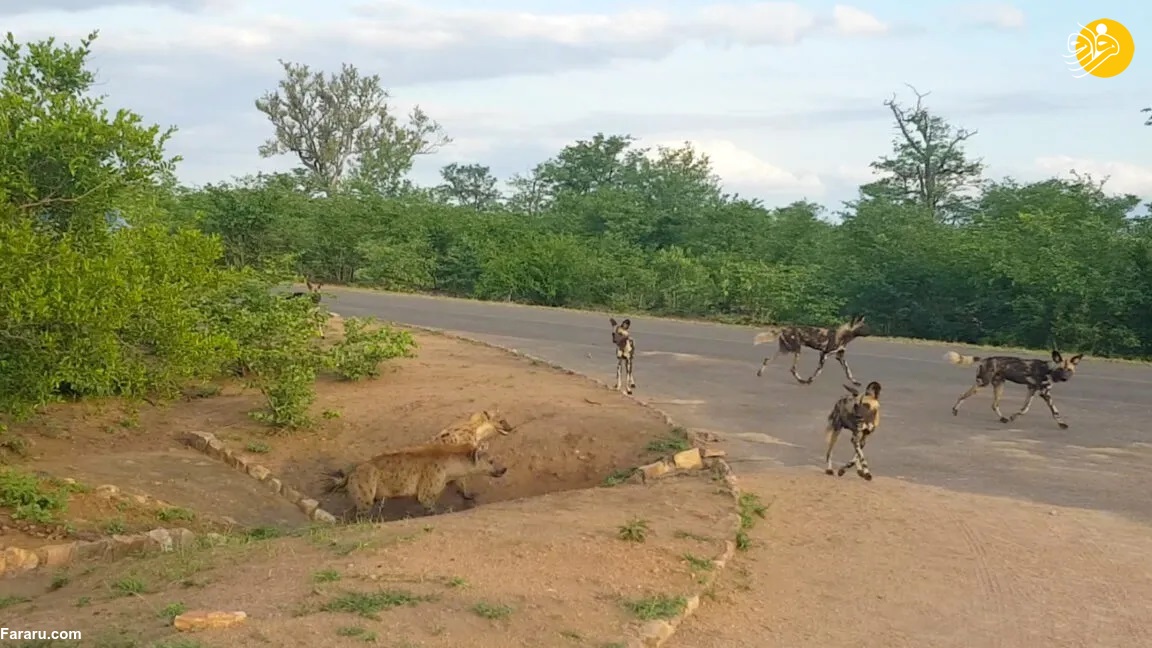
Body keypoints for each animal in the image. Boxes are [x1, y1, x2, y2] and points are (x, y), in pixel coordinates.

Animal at [322, 440, 506, 516]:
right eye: (491, 461)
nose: (504, 469)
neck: (450, 465)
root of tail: (352, 470)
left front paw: (469, 495)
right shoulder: (429, 486)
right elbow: (429, 505)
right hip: (366, 486)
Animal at [944, 348, 1078, 428]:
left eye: (1069, 370)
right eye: (1060, 369)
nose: (1065, 378)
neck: (1049, 370)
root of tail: (985, 359)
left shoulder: (1032, 389)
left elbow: (1024, 409)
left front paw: (1013, 417)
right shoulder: (1044, 393)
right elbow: (1055, 411)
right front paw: (1062, 424)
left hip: (999, 386)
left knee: (994, 405)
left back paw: (1003, 418)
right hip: (982, 384)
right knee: (962, 395)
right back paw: (954, 410)